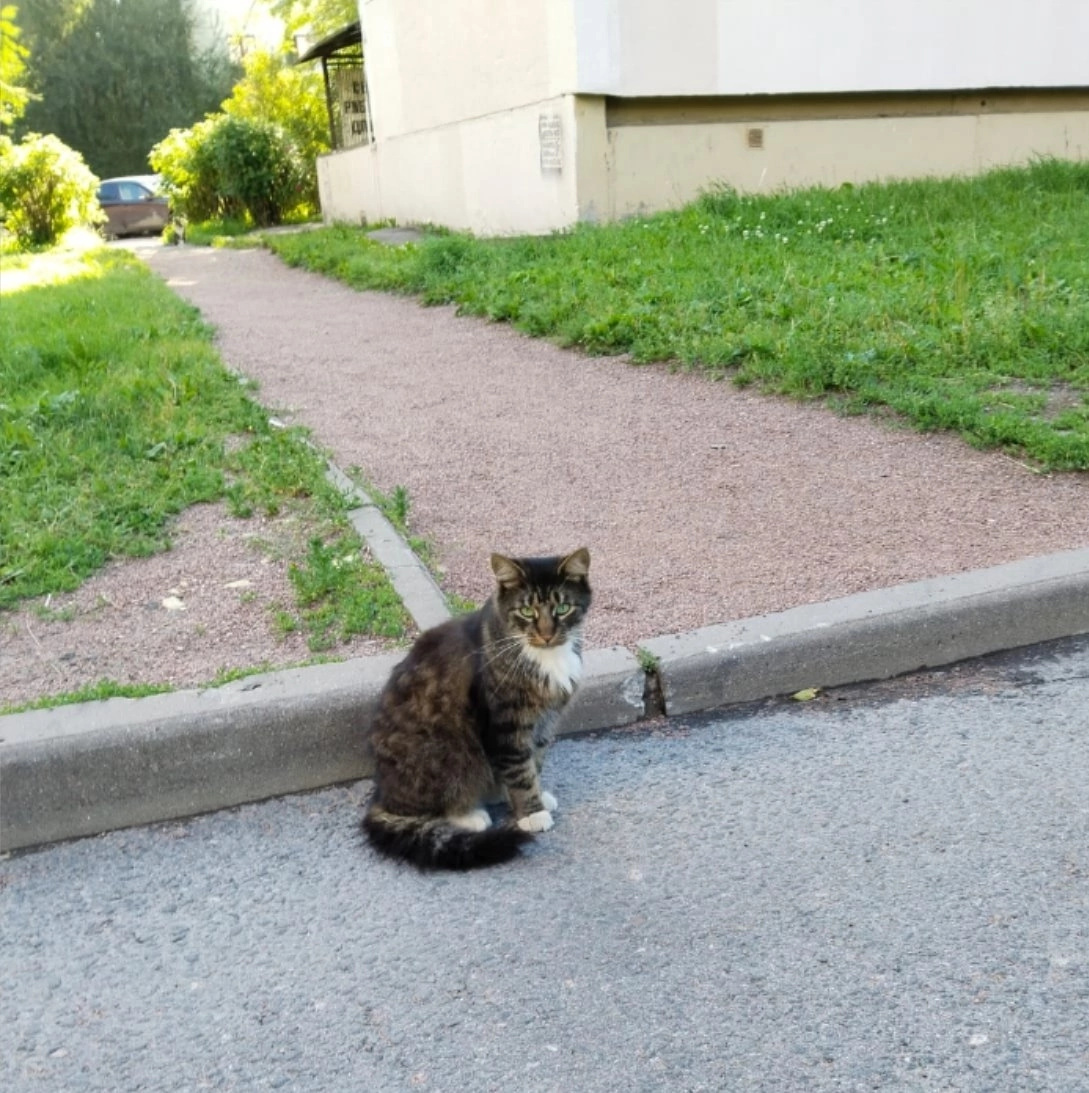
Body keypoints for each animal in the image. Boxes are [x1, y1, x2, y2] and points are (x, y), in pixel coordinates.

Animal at [360, 546, 590, 870]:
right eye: (527, 612)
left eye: (562, 609)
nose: (546, 634)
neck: (545, 656)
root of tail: (382, 794)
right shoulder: (506, 724)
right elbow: (520, 770)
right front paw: (532, 813)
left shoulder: (545, 722)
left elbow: (534, 763)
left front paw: (530, 798)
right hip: (447, 753)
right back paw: (471, 815)